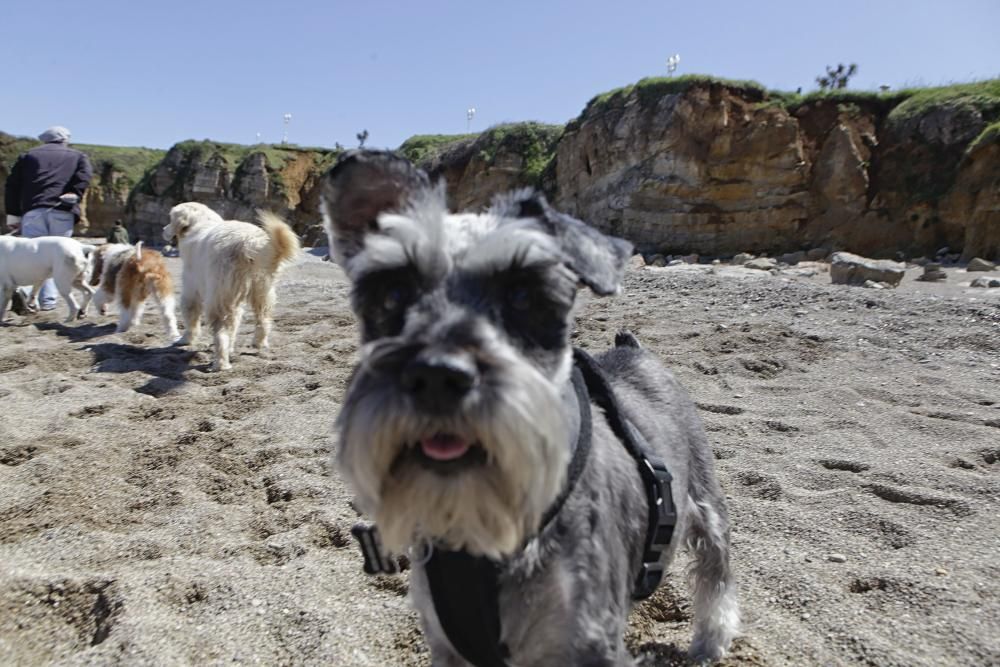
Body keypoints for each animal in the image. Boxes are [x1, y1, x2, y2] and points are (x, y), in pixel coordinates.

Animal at [161, 202, 296, 370]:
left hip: (220, 297)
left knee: (221, 333)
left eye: (170, 219)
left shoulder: (191, 287)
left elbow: (191, 317)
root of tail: (248, 243)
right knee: (263, 320)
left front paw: (185, 340)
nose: (163, 229)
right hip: (262, 291)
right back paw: (259, 344)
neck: (199, 224)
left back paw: (220, 363)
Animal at [324, 151, 740, 667]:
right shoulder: (446, 645)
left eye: (522, 296)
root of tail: (633, 348)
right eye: (393, 293)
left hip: (705, 501)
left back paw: (711, 639)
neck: (478, 533)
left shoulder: (588, 639)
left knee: (716, 570)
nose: (439, 376)